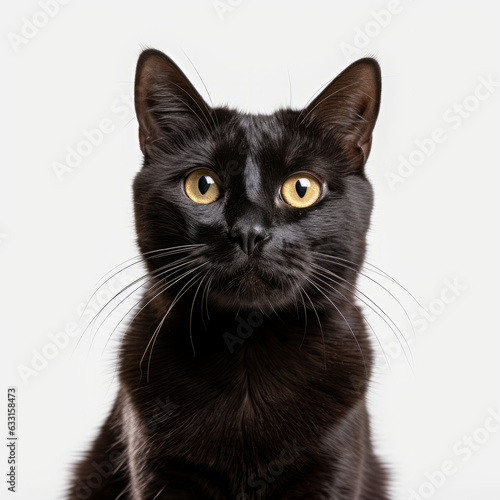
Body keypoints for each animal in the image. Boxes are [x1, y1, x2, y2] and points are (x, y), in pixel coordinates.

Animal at [67, 48, 386, 498]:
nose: (249, 232)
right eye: (202, 185)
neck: (247, 355)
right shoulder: (157, 468)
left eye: (301, 188)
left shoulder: (334, 469)